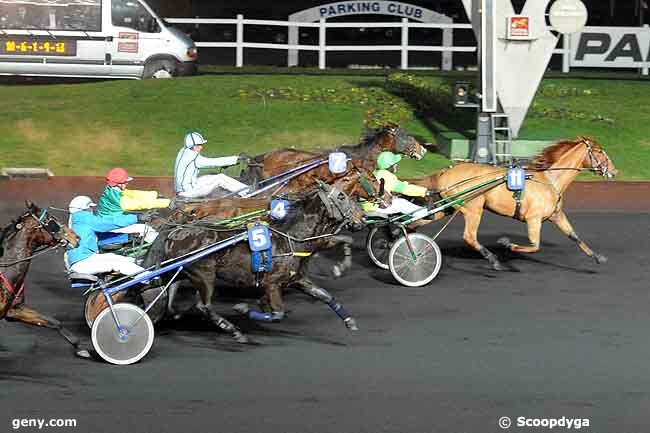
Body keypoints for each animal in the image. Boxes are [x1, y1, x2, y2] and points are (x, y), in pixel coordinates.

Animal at [142, 181, 364, 342]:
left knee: (166, 290)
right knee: (203, 306)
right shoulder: (272, 283)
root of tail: (177, 230)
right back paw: (234, 331)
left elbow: (325, 296)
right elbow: (278, 314)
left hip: (180, 270)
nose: (361, 218)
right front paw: (244, 308)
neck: (291, 237)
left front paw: (350, 321)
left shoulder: (297, 279)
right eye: (342, 196)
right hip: (204, 274)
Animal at [408, 136, 616, 270]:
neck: (550, 179)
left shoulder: (556, 215)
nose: (614, 171)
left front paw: (597, 257)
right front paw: (507, 244)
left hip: (448, 208)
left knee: (419, 220)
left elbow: (574, 236)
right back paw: (493, 259)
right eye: (599, 151)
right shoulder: (533, 218)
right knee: (469, 237)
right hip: (473, 208)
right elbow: (534, 245)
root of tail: (446, 171)